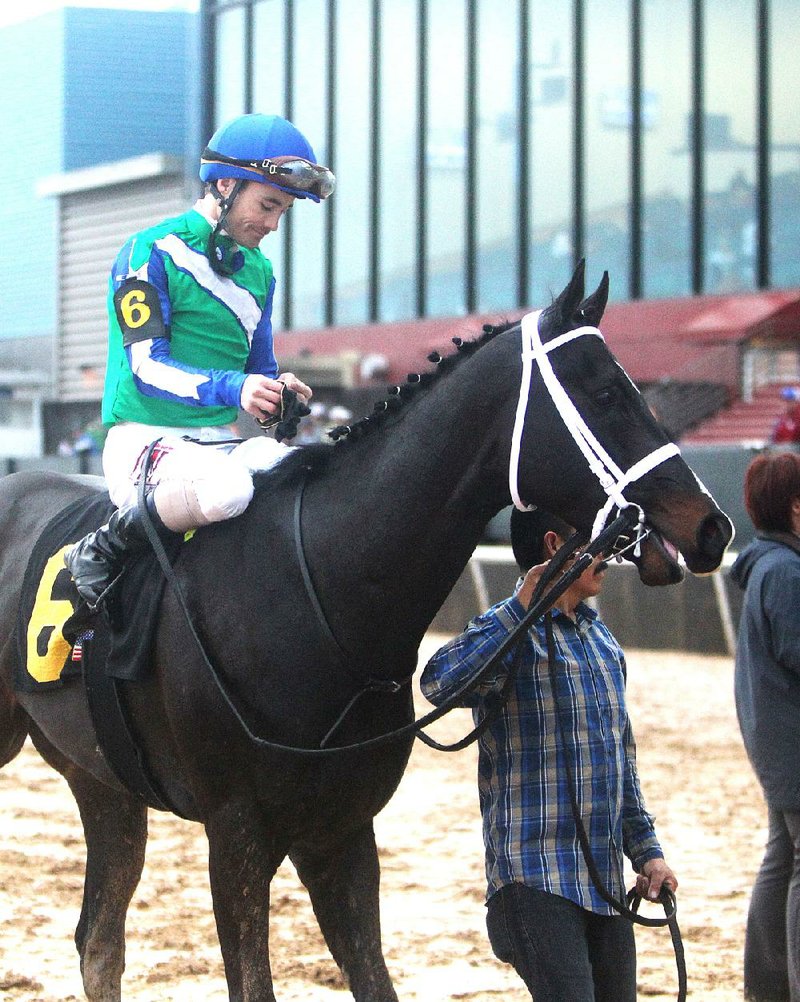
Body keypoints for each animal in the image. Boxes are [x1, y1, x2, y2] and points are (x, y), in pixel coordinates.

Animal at [0, 266, 733, 1002]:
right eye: (607, 393)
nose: (713, 526)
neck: (320, 592)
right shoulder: (236, 831)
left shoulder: (343, 830)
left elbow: (373, 977)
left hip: (103, 781)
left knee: (98, 940)